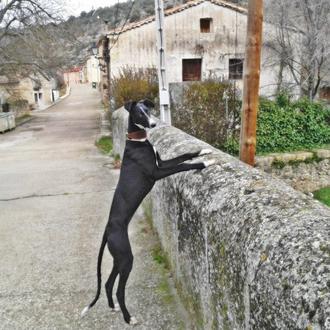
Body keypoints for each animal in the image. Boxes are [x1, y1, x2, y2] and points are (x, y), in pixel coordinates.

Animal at [82, 99, 215, 324]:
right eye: (139, 114)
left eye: (149, 110)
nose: (154, 124)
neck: (138, 141)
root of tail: (107, 231)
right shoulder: (157, 172)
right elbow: (184, 165)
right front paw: (205, 162)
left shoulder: (161, 162)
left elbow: (184, 155)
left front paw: (204, 152)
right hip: (126, 258)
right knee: (119, 290)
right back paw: (129, 318)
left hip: (118, 258)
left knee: (108, 283)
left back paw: (113, 308)